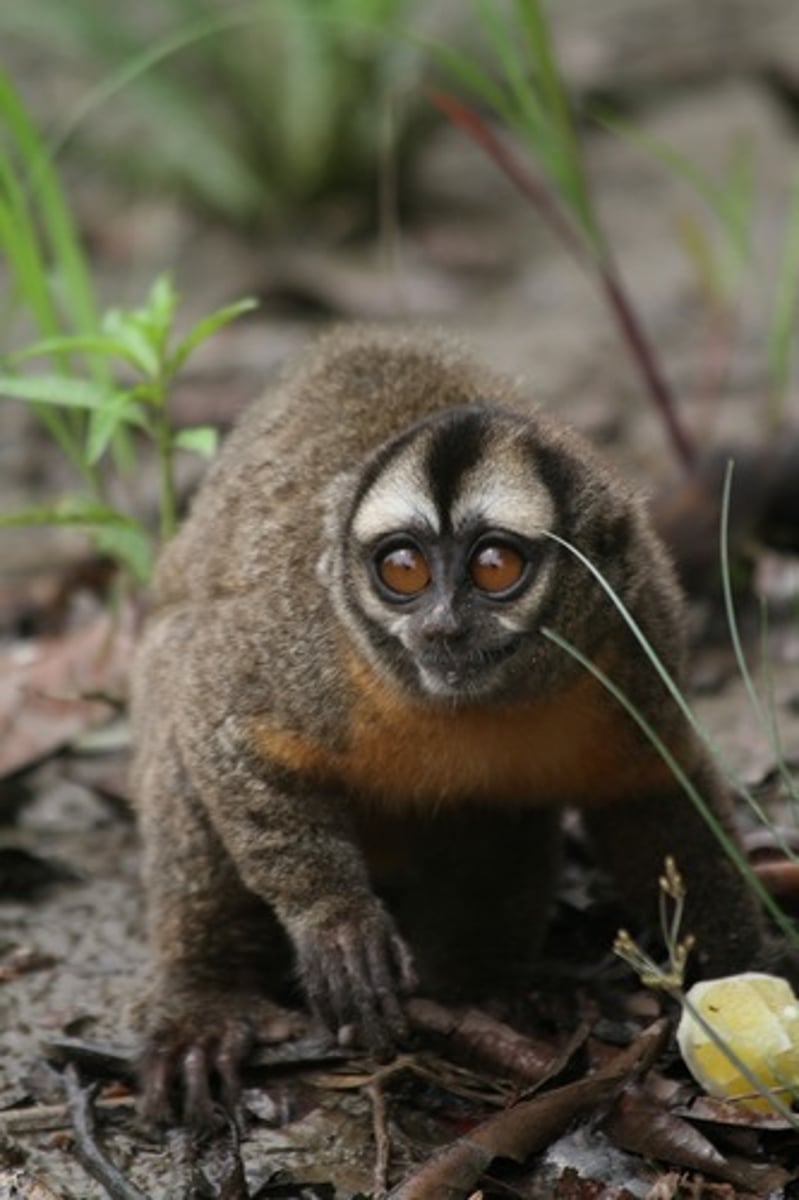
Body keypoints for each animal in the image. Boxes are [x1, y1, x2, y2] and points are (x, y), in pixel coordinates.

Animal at [130, 325, 794, 1126]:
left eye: (495, 565)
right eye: (405, 570)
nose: (443, 627)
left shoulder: (635, 636)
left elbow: (654, 796)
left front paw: (741, 970)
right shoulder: (307, 646)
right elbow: (217, 717)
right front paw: (337, 922)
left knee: (496, 810)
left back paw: (478, 991)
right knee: (174, 705)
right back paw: (204, 1000)